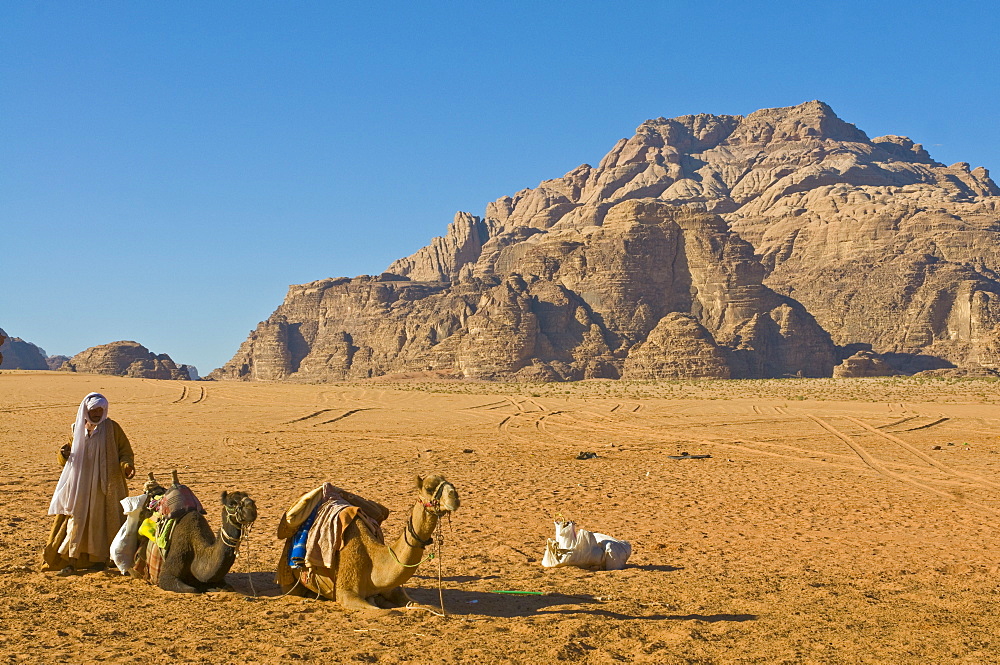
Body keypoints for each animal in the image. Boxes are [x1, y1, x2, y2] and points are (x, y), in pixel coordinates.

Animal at [276, 474, 458, 608]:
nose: (454, 496)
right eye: (428, 488)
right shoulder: (346, 592)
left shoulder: (393, 589)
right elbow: (387, 612)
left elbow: (424, 606)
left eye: (450, 483)